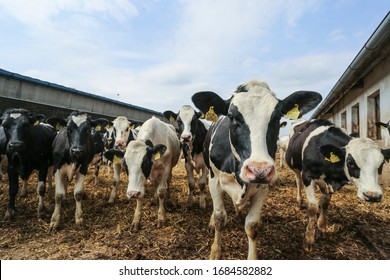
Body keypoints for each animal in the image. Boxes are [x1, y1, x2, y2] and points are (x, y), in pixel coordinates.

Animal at [190, 80, 322, 260]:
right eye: (232, 117)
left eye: (277, 117)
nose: (259, 170)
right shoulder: (214, 180)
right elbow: (219, 217)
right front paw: (215, 251)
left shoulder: (263, 187)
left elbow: (252, 226)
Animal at [284, 119, 390, 250]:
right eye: (350, 162)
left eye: (382, 163)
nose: (372, 196)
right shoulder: (307, 176)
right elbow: (313, 207)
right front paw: (309, 239)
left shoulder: (330, 184)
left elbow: (324, 204)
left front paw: (322, 227)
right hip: (296, 168)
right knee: (298, 182)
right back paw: (299, 202)